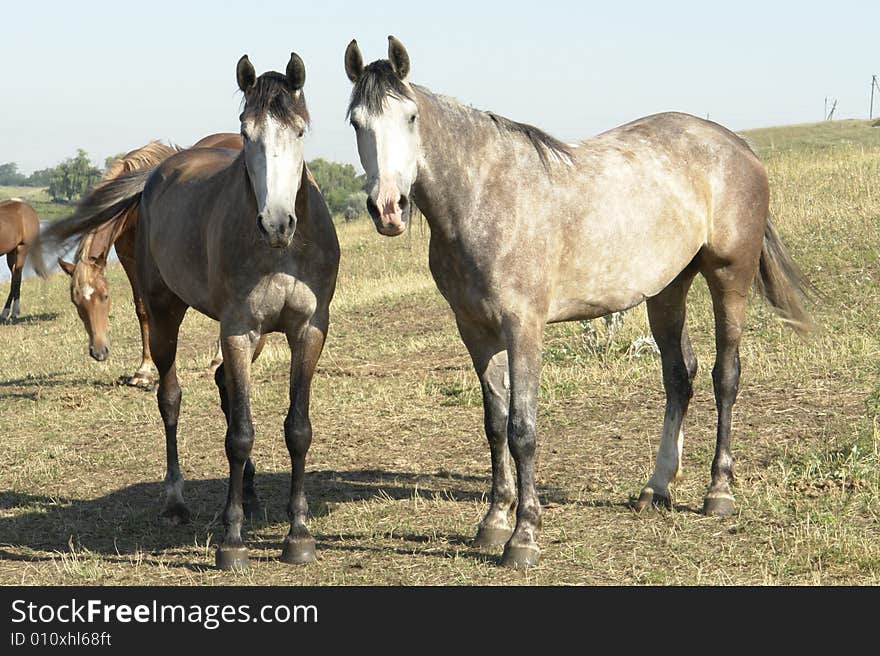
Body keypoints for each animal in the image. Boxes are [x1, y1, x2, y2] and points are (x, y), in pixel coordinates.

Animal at [57, 135, 241, 386]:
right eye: (75, 301)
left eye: (105, 296)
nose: (98, 352)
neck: (132, 205)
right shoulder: (129, 259)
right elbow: (142, 310)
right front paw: (143, 369)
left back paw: (219, 358)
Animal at [342, 37, 812, 568]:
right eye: (356, 122)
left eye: (411, 117)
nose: (388, 209)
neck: (483, 197)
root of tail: (735, 143)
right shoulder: (475, 331)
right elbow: (494, 425)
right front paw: (493, 522)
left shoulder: (523, 327)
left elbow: (522, 428)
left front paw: (523, 536)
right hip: (668, 288)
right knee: (680, 377)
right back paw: (657, 488)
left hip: (729, 277)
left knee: (725, 376)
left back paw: (719, 492)